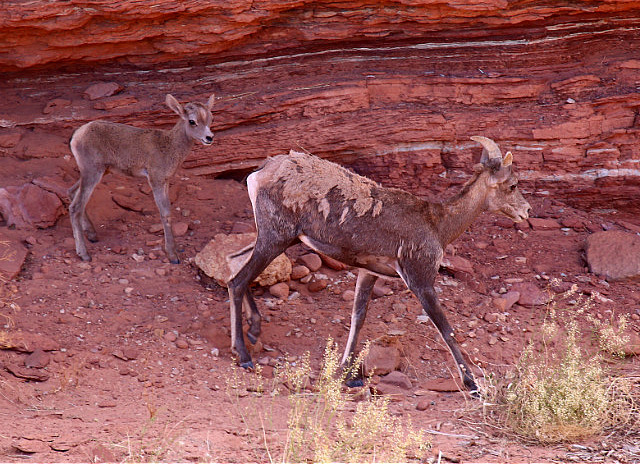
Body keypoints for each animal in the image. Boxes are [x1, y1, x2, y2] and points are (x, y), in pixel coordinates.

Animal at [68, 93, 215, 264]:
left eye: (210, 118)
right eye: (192, 121)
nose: (209, 138)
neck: (169, 146)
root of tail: (77, 135)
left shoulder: (165, 182)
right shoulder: (155, 180)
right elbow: (165, 213)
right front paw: (173, 256)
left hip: (99, 172)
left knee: (71, 192)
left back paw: (92, 235)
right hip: (92, 173)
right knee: (75, 207)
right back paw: (84, 254)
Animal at [228, 138, 532, 392]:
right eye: (512, 185)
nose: (526, 211)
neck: (438, 224)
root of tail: (260, 173)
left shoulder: (368, 273)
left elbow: (358, 318)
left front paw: (348, 375)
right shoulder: (420, 281)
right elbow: (446, 329)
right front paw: (472, 385)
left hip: (274, 239)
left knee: (235, 265)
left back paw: (254, 331)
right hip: (275, 238)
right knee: (237, 281)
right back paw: (243, 355)